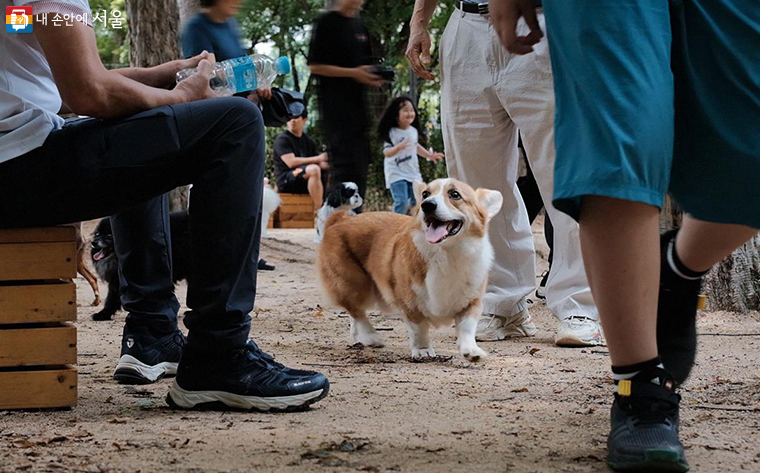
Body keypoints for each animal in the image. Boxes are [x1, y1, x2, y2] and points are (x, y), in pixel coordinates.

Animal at [318, 179, 502, 360]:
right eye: (425, 194)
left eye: (455, 194)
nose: (427, 205)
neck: (447, 254)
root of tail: (341, 219)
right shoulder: (410, 303)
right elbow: (419, 328)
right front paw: (423, 350)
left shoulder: (472, 301)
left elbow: (467, 328)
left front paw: (471, 350)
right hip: (356, 284)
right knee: (356, 311)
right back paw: (370, 336)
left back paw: (359, 338)